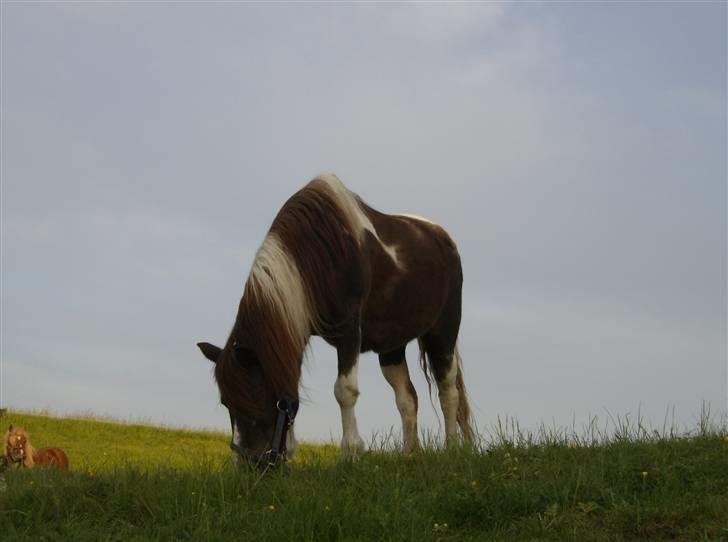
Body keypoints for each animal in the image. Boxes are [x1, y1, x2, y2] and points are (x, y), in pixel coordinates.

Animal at [196, 173, 474, 464]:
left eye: (255, 396)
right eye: (226, 402)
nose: (250, 465)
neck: (318, 254)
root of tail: (443, 238)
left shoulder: (349, 331)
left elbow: (345, 391)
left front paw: (351, 453)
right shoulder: (297, 329)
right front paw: (292, 454)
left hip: (443, 333)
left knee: (448, 391)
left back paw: (452, 449)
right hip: (392, 347)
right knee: (407, 397)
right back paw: (409, 455)